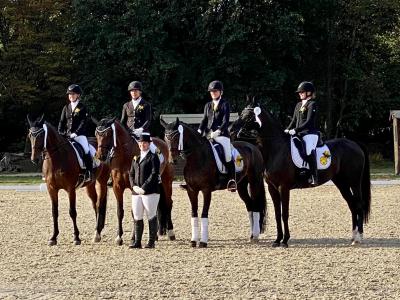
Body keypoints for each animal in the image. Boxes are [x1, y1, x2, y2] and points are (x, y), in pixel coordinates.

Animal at [27, 115, 109, 246]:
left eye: (41, 135)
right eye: (30, 135)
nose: (34, 159)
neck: (57, 158)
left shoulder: (71, 189)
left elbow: (72, 212)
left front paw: (76, 237)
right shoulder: (52, 189)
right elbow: (54, 212)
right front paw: (53, 237)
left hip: (102, 181)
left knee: (100, 204)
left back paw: (98, 232)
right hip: (90, 184)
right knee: (95, 203)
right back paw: (97, 232)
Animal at [94, 116, 176, 245]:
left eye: (108, 134)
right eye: (96, 134)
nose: (100, 156)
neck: (124, 154)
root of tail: (163, 142)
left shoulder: (135, 187)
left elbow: (134, 212)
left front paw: (133, 237)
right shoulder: (117, 187)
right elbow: (119, 211)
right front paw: (119, 237)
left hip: (167, 181)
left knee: (168, 203)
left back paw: (171, 233)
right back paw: (156, 236)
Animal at [159, 118, 266, 247]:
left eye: (176, 137)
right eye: (165, 138)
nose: (172, 160)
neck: (196, 158)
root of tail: (253, 147)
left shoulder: (206, 190)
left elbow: (204, 214)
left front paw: (203, 242)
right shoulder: (192, 190)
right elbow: (194, 214)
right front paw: (194, 240)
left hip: (254, 181)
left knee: (255, 205)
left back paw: (255, 236)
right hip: (241, 186)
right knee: (249, 205)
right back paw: (251, 235)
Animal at [231, 102, 372, 247]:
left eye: (248, 116)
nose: (231, 129)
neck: (275, 149)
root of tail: (355, 144)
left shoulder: (284, 187)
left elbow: (284, 214)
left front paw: (285, 240)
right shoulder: (272, 188)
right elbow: (277, 214)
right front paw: (277, 240)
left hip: (354, 182)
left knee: (359, 205)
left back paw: (359, 238)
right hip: (341, 183)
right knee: (352, 205)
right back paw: (353, 237)